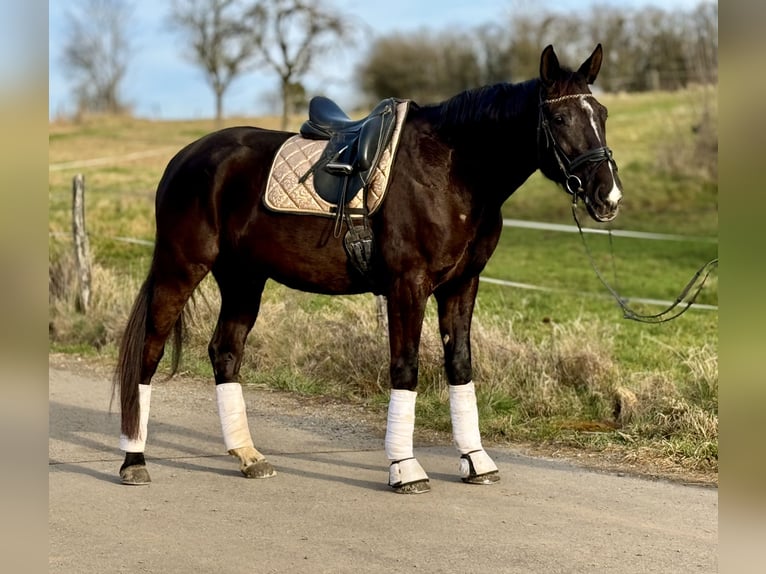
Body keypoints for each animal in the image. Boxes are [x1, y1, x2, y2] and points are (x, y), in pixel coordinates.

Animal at [117, 45, 628, 496]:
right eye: (559, 119)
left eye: (602, 114)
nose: (609, 196)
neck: (451, 171)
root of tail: (186, 158)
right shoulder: (408, 285)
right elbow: (405, 368)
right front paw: (405, 468)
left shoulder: (462, 285)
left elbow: (460, 366)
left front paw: (475, 460)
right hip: (181, 267)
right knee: (149, 351)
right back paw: (134, 460)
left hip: (244, 279)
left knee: (225, 353)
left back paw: (248, 456)